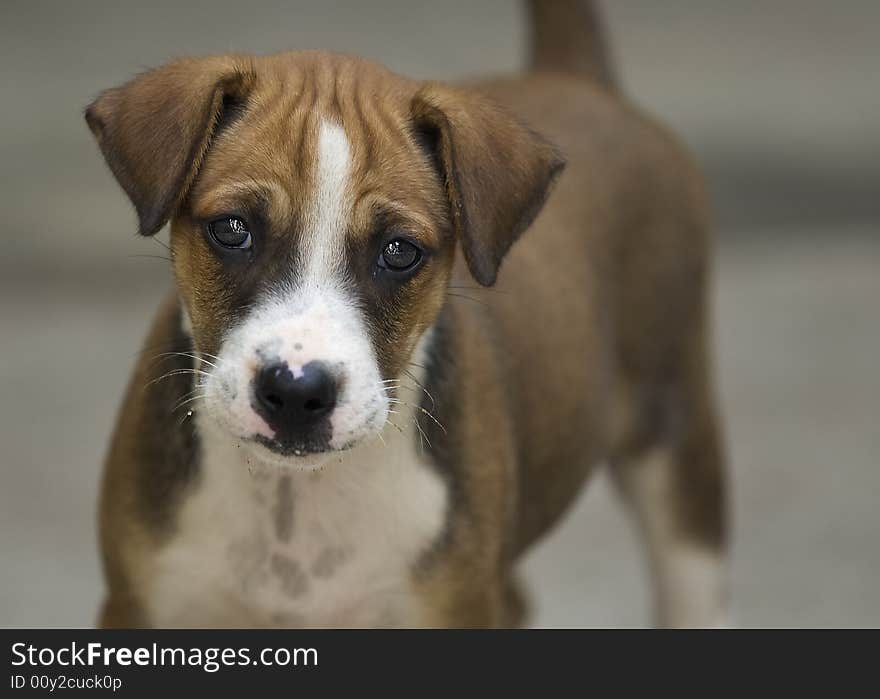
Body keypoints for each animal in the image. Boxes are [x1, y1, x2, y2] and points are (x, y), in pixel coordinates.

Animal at [87, 0, 728, 632]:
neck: (294, 501)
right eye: (232, 230)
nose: (295, 393)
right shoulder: (135, 609)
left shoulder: (459, 609)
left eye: (399, 252)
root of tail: (577, 77)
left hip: (679, 448)